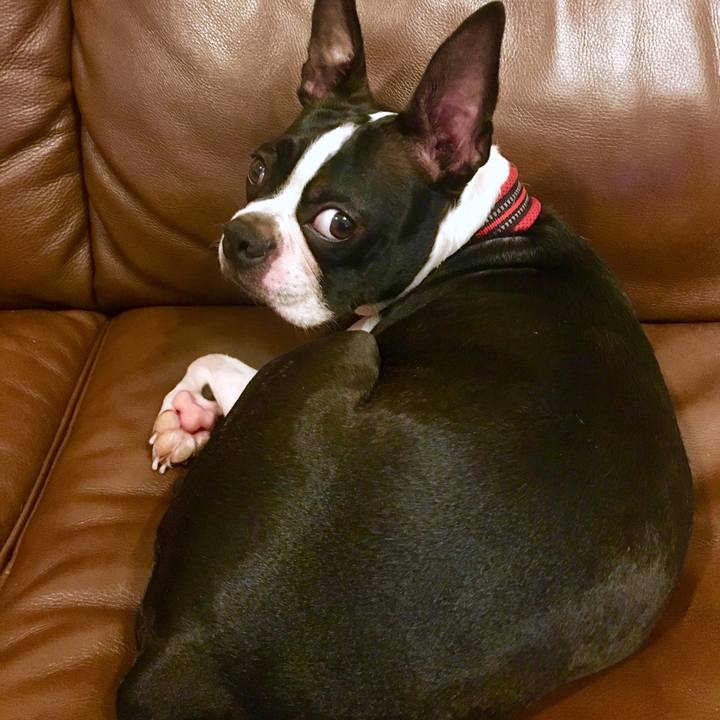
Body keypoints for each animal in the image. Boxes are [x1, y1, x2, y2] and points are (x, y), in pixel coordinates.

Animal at [117, 1, 693, 718]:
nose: (241, 234)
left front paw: (186, 418)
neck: (479, 230)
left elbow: (212, 356)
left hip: (343, 351)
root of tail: (192, 657)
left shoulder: (341, 339)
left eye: (337, 223)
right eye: (257, 168)